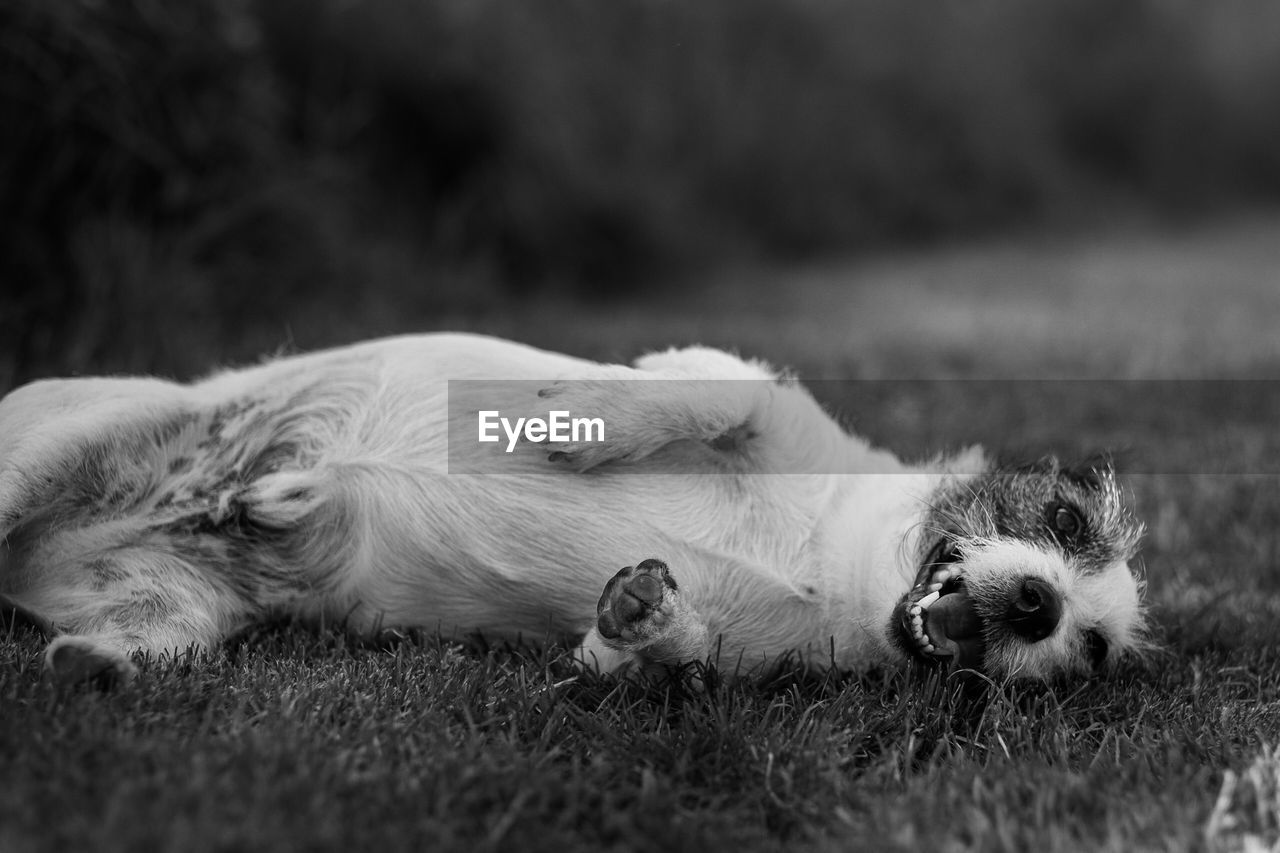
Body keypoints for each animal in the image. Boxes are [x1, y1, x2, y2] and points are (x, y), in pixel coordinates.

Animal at [0, 333, 1146, 686]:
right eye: (1060, 518)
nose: (1042, 608)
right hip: (44, 453)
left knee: (135, 638)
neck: (833, 563)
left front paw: (636, 619)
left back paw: (93, 665)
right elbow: (703, 392)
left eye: (1092, 651)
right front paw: (562, 426)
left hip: (174, 612)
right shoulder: (746, 393)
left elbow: (651, 653)